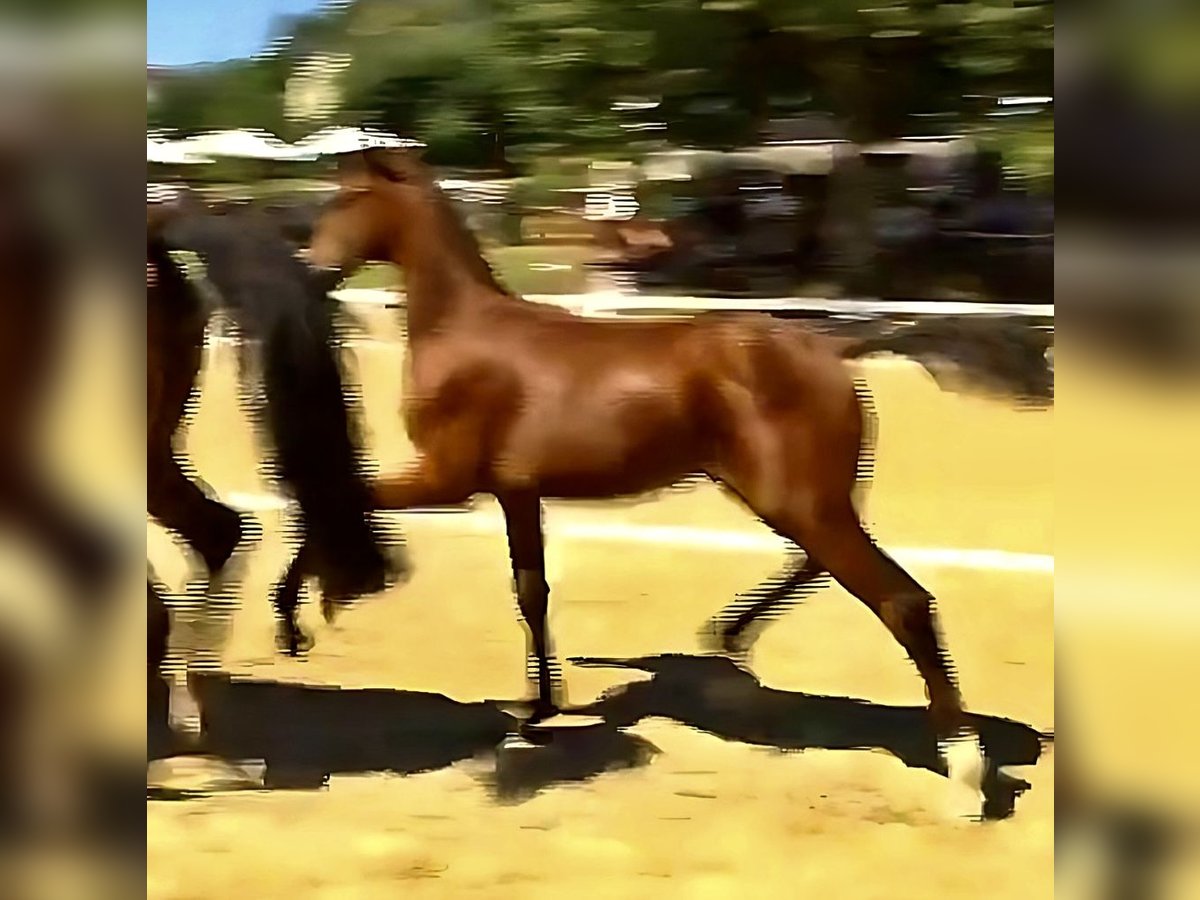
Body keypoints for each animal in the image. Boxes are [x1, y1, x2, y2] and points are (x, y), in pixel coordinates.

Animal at [292, 150, 1051, 801]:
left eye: (349, 197)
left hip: (794, 499)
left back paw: (965, 769)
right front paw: (539, 707)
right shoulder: (516, 492)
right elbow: (531, 592)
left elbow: (333, 501)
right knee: (821, 565)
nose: (311, 266)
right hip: (798, 497)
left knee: (902, 600)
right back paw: (730, 640)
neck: (463, 336)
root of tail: (835, 345)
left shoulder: (446, 479)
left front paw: (299, 619)